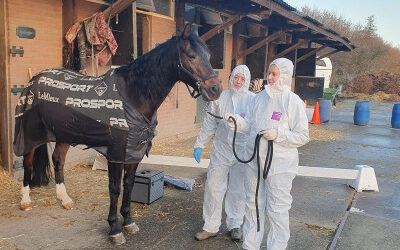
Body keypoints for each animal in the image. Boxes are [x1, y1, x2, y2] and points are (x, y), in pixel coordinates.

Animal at [14, 23, 222, 246]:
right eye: (191, 55)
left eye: (209, 55)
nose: (215, 89)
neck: (131, 96)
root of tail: (34, 80)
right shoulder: (115, 153)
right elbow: (115, 189)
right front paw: (114, 229)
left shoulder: (133, 152)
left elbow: (128, 185)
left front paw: (128, 222)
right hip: (29, 135)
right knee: (27, 164)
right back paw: (25, 201)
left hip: (63, 134)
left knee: (58, 161)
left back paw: (65, 200)